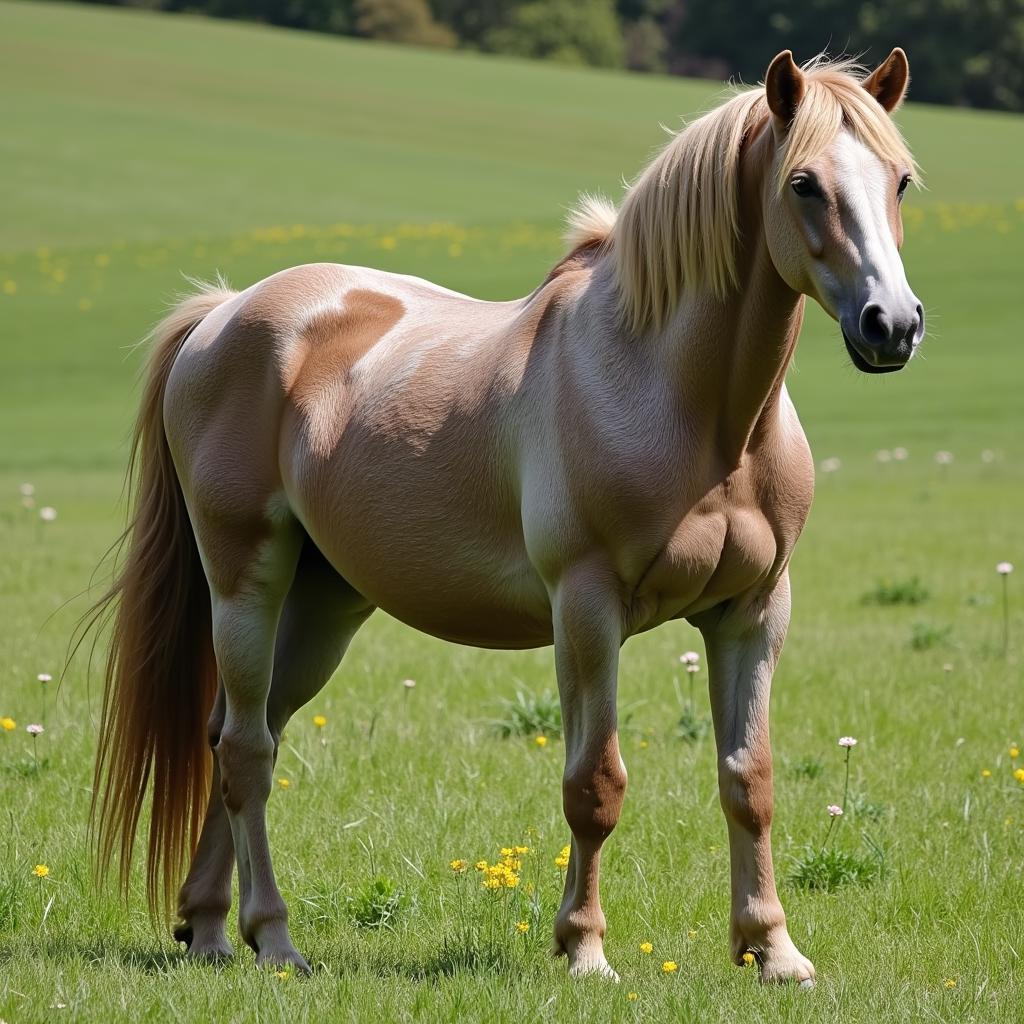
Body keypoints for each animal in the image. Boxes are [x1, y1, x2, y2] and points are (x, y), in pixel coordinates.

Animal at [88, 48, 921, 983]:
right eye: (804, 184)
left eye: (900, 179)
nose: (893, 325)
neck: (689, 408)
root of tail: (223, 313)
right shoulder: (586, 610)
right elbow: (595, 785)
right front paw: (585, 948)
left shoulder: (753, 610)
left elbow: (750, 780)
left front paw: (772, 949)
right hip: (246, 582)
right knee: (247, 752)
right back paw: (273, 937)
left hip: (323, 602)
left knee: (236, 732)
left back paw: (206, 926)